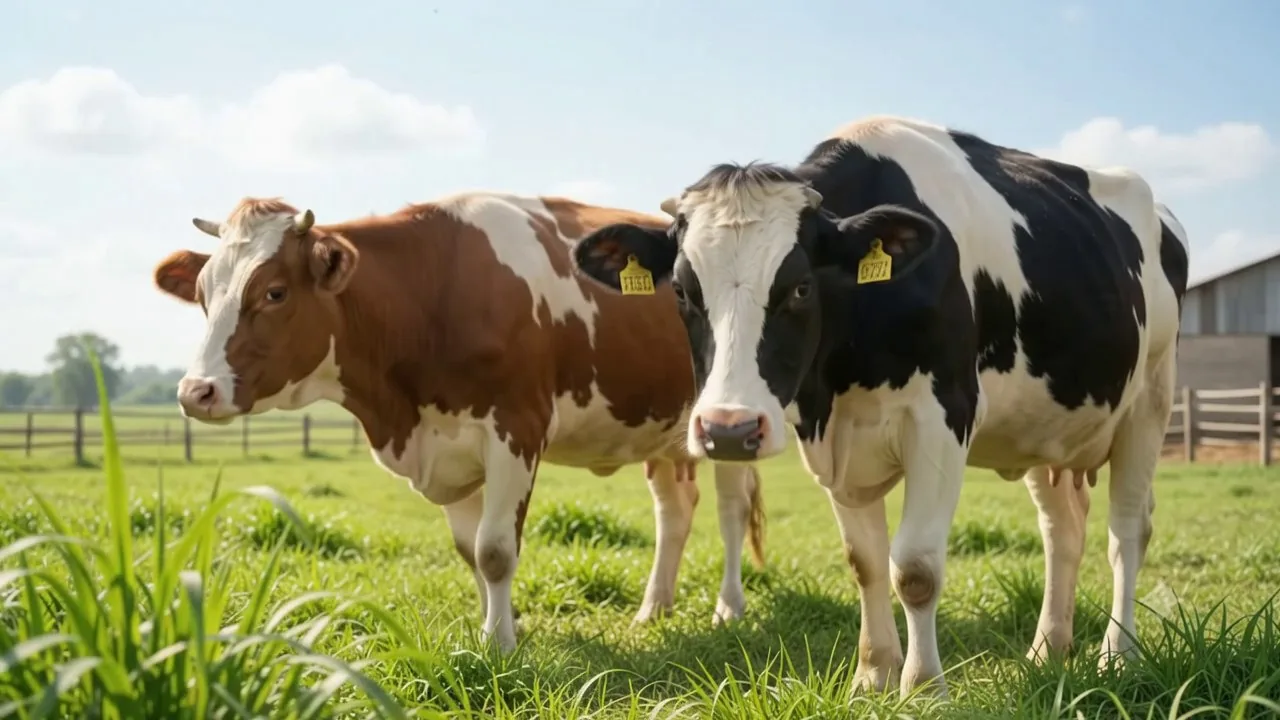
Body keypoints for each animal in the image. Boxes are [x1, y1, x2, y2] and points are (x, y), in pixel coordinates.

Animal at [149, 191, 771, 653]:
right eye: (203, 294)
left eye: (275, 292)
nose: (195, 391)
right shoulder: (446, 447)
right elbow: (471, 551)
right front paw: (495, 627)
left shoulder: (516, 429)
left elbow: (496, 549)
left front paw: (500, 645)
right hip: (664, 430)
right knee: (674, 511)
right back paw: (653, 608)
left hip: (726, 418)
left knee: (730, 510)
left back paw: (729, 608)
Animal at [570, 115, 1190, 697]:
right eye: (681, 290)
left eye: (800, 287)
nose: (727, 430)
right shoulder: (829, 437)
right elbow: (864, 562)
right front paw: (873, 674)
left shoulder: (943, 418)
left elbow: (914, 568)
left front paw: (924, 685)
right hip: (1045, 427)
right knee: (1063, 531)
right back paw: (1047, 649)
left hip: (1151, 401)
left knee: (1127, 532)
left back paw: (1119, 655)